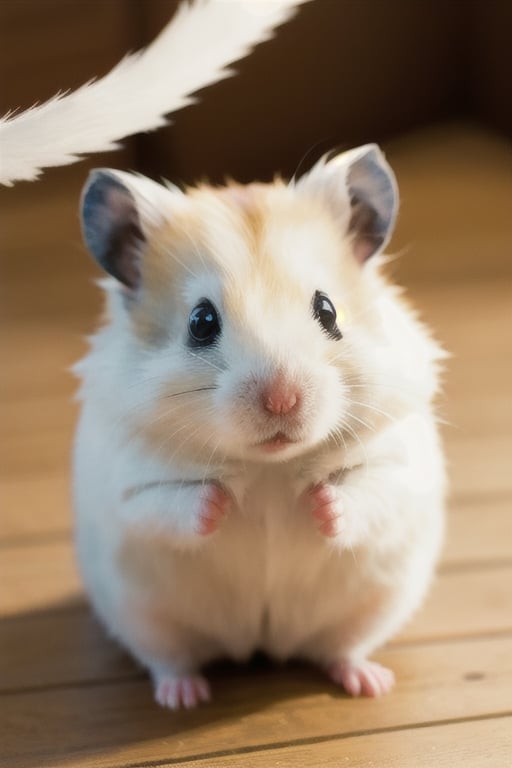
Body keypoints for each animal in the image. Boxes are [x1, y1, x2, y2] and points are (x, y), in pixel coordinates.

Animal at [74, 144, 446, 708]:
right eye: (201, 323)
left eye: (328, 310)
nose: (282, 399)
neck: (270, 464)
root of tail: (262, 643)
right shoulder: (126, 480)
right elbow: (171, 503)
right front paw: (224, 501)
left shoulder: (398, 459)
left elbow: (367, 489)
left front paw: (318, 502)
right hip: (144, 617)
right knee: (169, 659)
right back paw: (183, 696)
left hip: (375, 606)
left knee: (342, 649)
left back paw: (369, 684)